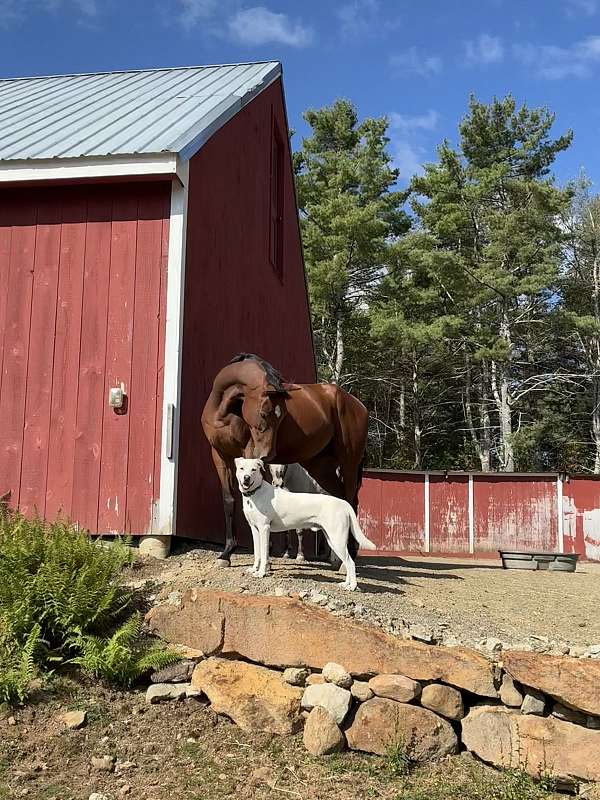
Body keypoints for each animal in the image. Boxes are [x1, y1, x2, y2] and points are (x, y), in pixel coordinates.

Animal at [201, 353, 368, 565]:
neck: (224, 409)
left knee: (351, 501)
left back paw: (350, 553)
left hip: (349, 463)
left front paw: (266, 555)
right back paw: (336, 557)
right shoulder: (220, 455)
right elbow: (229, 500)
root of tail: (358, 405)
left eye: (282, 417)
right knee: (341, 498)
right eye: (263, 414)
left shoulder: (248, 452)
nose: (266, 455)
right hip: (321, 467)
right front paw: (227, 553)